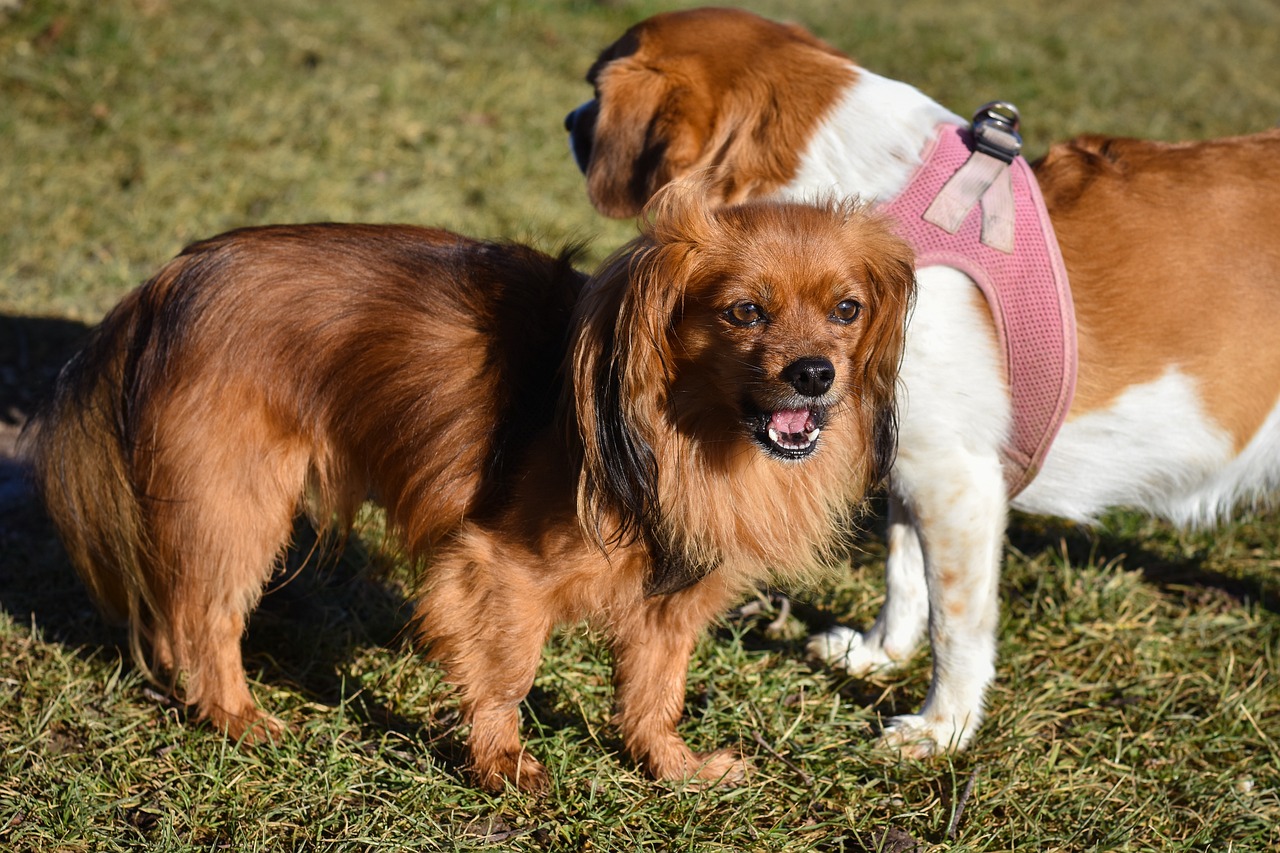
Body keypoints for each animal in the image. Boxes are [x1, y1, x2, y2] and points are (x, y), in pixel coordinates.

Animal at [27, 188, 911, 788]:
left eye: (847, 309)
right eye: (743, 312)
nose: (815, 374)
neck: (685, 433)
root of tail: (168, 281)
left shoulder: (671, 599)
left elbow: (655, 688)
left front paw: (670, 765)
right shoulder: (501, 568)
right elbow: (509, 671)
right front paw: (504, 764)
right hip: (238, 505)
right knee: (202, 622)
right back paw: (238, 717)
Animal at [565, 4, 1280, 753]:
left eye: (593, 87)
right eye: (746, 310)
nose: (567, 120)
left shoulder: (958, 479)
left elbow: (955, 621)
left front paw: (944, 727)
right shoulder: (912, 462)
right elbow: (905, 571)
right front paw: (882, 652)